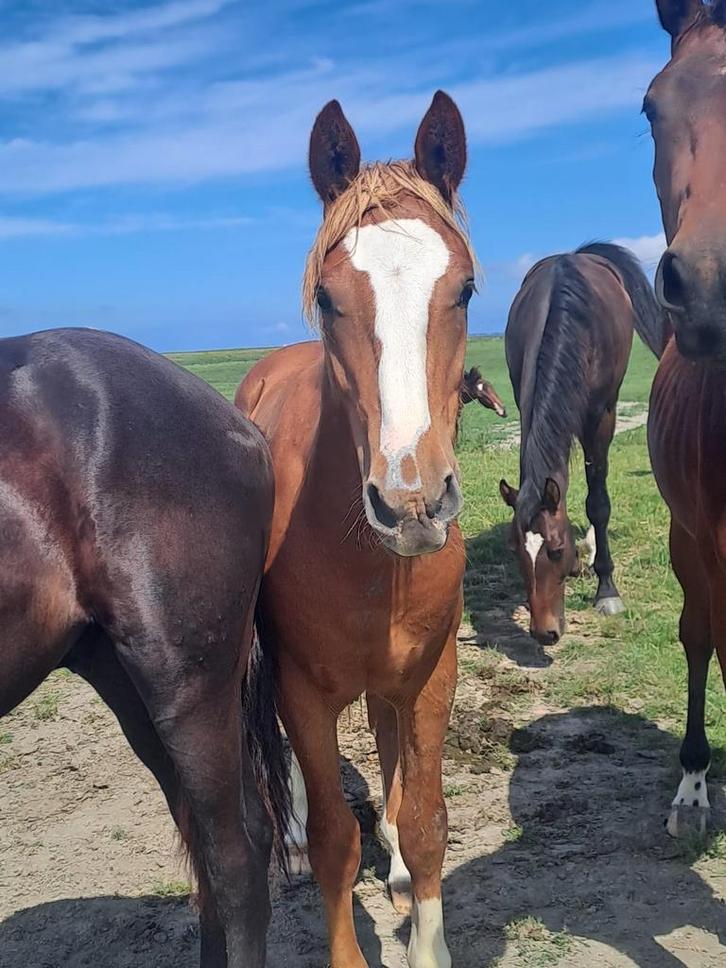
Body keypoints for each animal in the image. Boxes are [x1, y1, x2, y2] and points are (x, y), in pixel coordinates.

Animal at [235, 92, 473, 968]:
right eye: (330, 297)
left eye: (464, 289)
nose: (412, 500)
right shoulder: (303, 688)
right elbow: (341, 843)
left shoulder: (432, 673)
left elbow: (429, 820)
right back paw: (297, 839)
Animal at [499, 243, 664, 646]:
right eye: (516, 551)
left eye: (556, 549)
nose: (544, 633)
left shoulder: (601, 417)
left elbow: (598, 502)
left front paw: (606, 588)